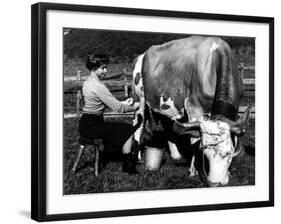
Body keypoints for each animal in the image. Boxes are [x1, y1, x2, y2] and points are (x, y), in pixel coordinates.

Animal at [131, 36, 249, 187]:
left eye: (228, 153)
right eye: (205, 153)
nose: (215, 182)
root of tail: (143, 54)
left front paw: (228, 172)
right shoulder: (194, 108)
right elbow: (195, 141)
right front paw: (194, 170)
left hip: (164, 103)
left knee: (167, 125)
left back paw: (176, 155)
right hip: (139, 100)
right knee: (138, 126)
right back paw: (138, 158)